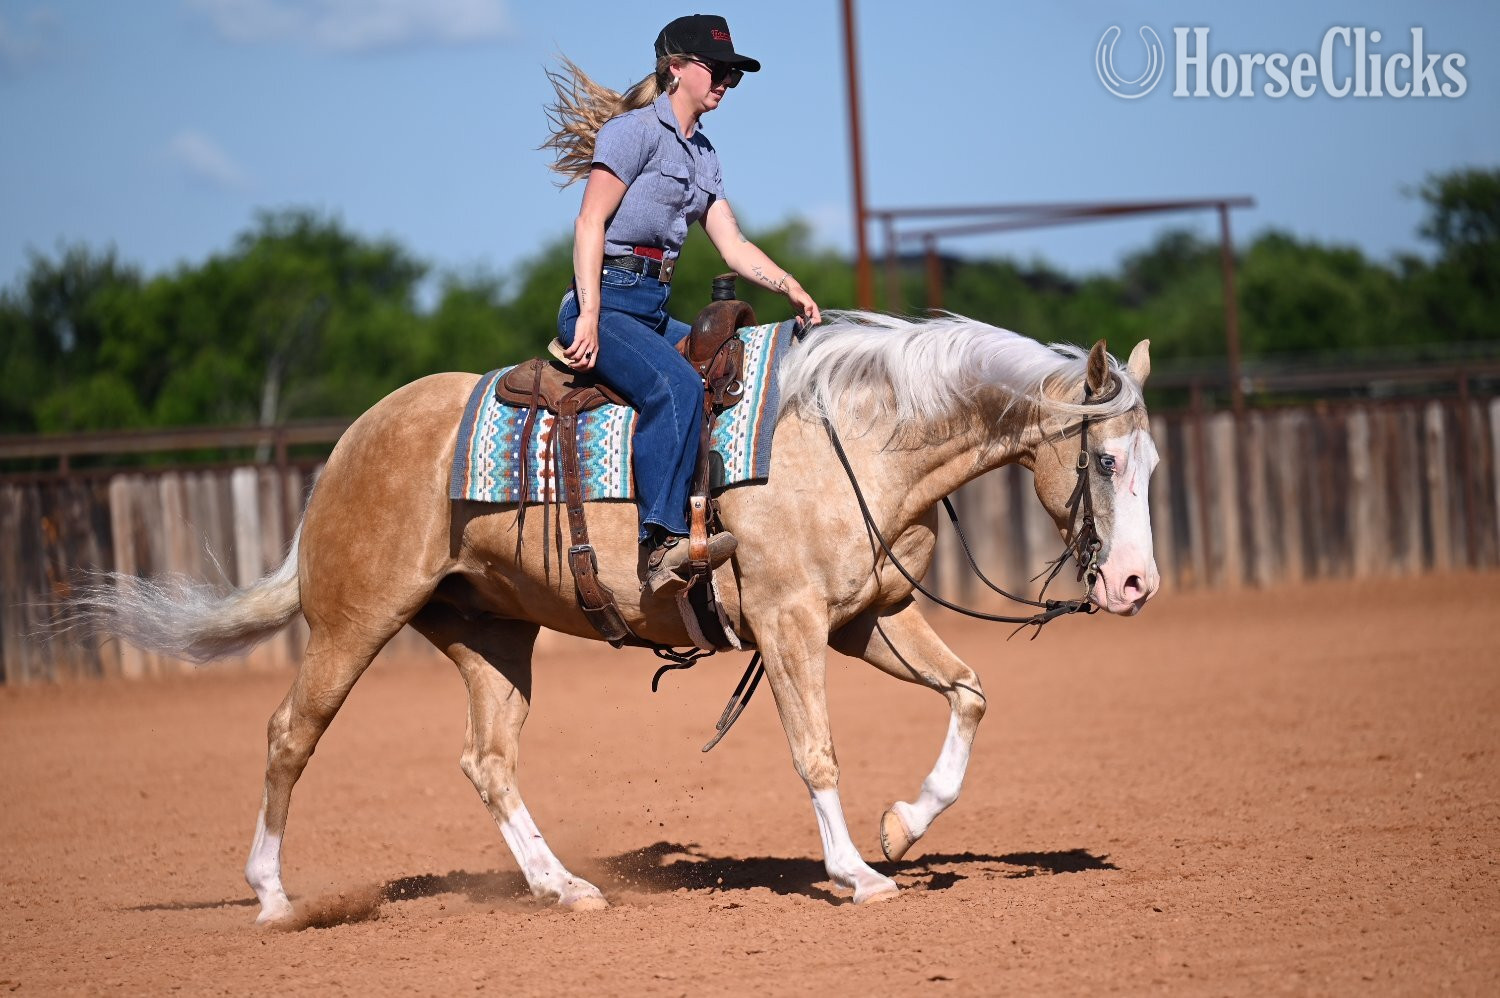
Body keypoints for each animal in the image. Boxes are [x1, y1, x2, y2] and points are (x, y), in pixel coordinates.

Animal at [79, 311, 1160, 923]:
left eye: (1151, 463)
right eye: (1105, 459)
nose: (1134, 586)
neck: (852, 436)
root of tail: (349, 443)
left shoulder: (871, 618)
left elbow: (970, 693)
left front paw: (901, 826)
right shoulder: (791, 623)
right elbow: (815, 751)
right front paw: (858, 871)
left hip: (491, 634)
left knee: (487, 760)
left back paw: (563, 887)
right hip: (352, 620)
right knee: (289, 734)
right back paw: (271, 895)